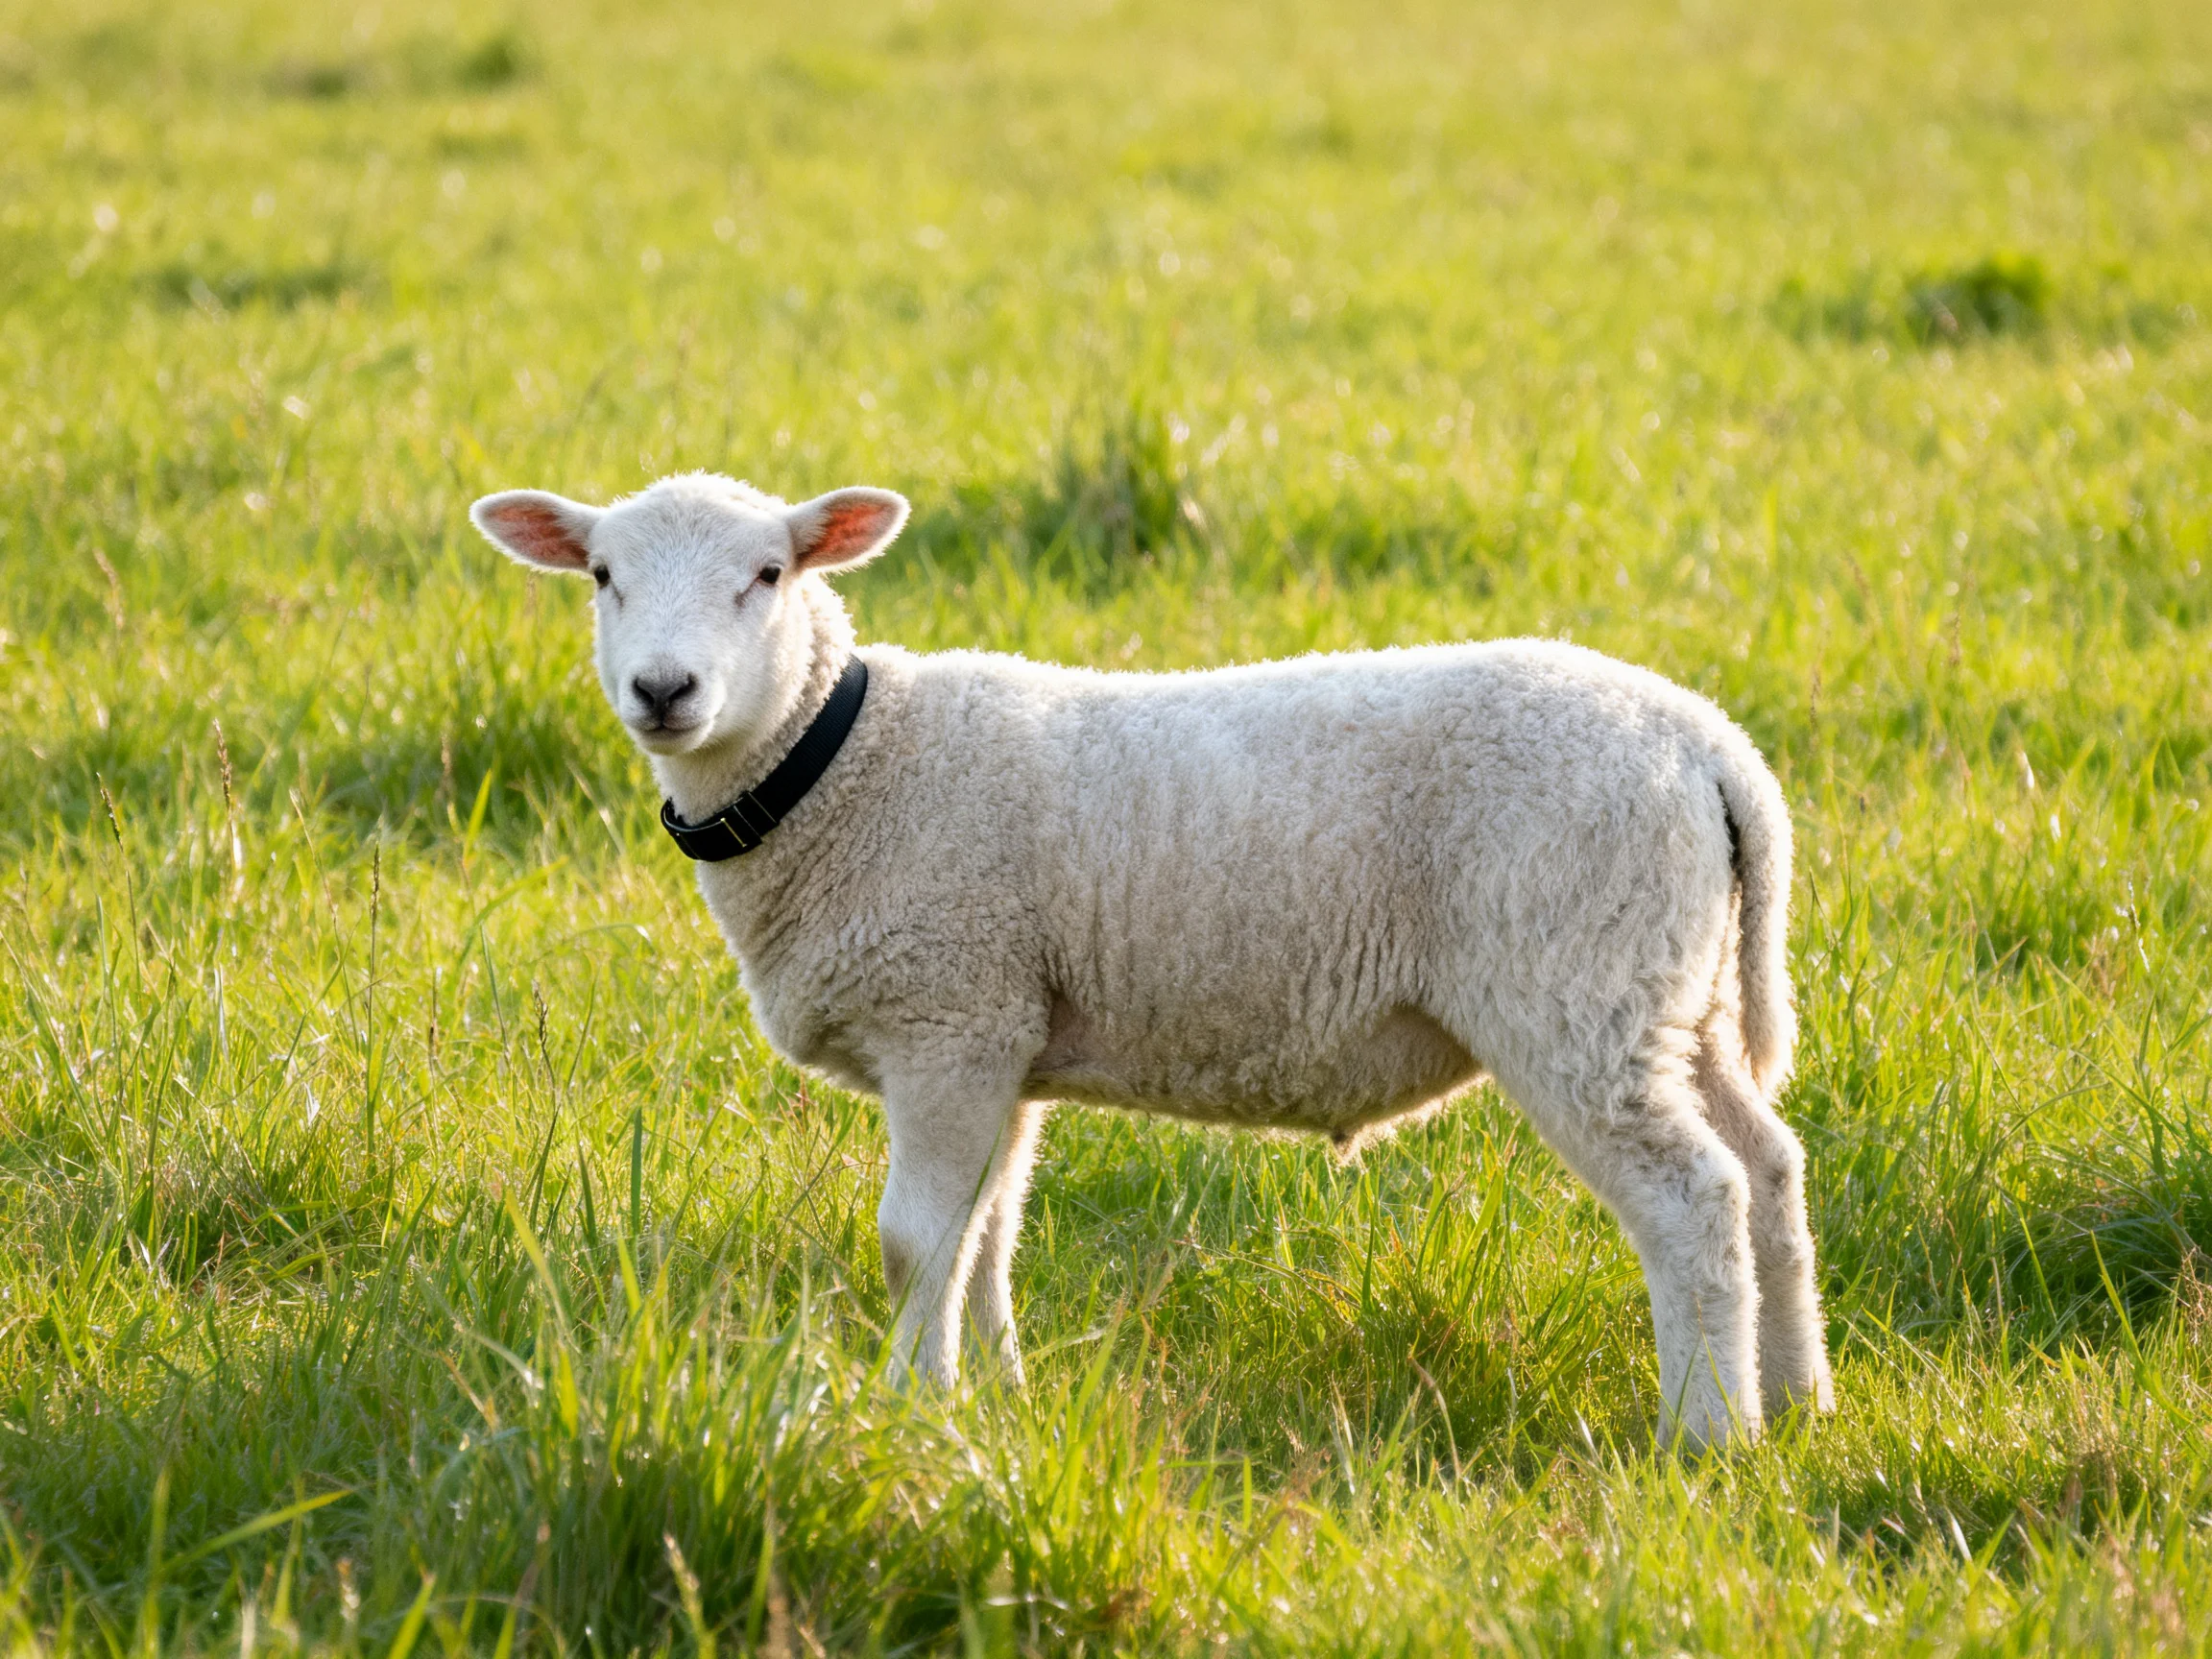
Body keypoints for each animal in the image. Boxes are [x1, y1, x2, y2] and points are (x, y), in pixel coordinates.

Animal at [470, 469, 1834, 1450]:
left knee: (1693, 1196)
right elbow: (989, 1235)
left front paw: (912, 1411)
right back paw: (1799, 1402)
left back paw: (1706, 1437)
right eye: (603, 576)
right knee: (1768, 1167)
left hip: (1574, 983)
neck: (845, 765)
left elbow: (918, 1239)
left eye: (767, 574)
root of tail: (1710, 744)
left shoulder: (945, 1015)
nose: (664, 691)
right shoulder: (1003, 1032)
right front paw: (996, 1397)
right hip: (1671, 989)